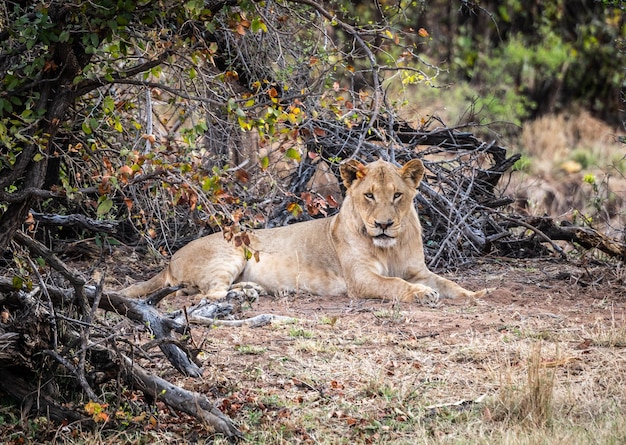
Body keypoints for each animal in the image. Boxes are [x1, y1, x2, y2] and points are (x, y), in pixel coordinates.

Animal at [122, 160, 490, 306]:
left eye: (397, 195)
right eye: (369, 195)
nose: (383, 224)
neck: (390, 246)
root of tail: (170, 260)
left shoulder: (418, 270)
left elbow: (448, 284)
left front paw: (475, 294)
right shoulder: (360, 279)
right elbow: (394, 285)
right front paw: (421, 295)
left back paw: (251, 291)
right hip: (231, 252)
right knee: (204, 295)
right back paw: (244, 296)